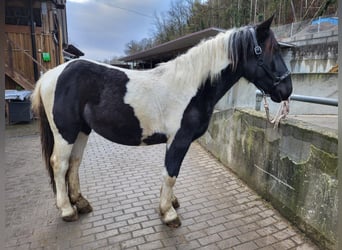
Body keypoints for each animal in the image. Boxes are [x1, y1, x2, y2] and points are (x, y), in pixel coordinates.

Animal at [31, 15, 292, 227]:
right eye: (271, 50)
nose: (287, 89)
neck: (192, 87)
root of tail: (50, 76)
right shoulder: (179, 140)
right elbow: (171, 174)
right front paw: (168, 213)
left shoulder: (172, 141)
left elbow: (169, 173)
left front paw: (169, 202)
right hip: (65, 132)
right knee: (59, 164)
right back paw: (67, 210)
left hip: (82, 131)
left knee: (74, 163)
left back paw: (81, 202)